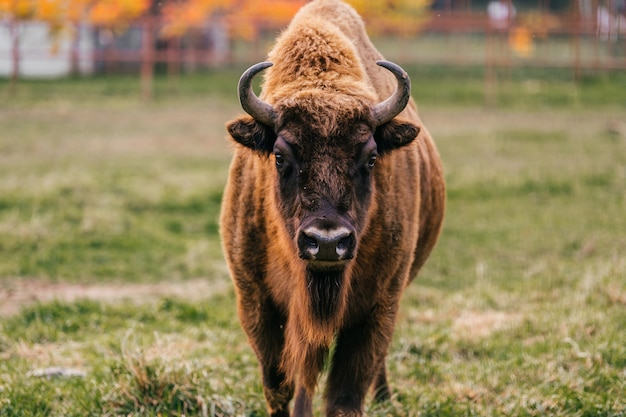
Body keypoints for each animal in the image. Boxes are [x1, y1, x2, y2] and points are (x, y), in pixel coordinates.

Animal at [219, 0, 444, 416]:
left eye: (371, 157)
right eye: (279, 156)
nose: (326, 242)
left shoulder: (377, 307)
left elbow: (346, 393)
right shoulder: (256, 302)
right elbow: (280, 384)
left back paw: (385, 397)